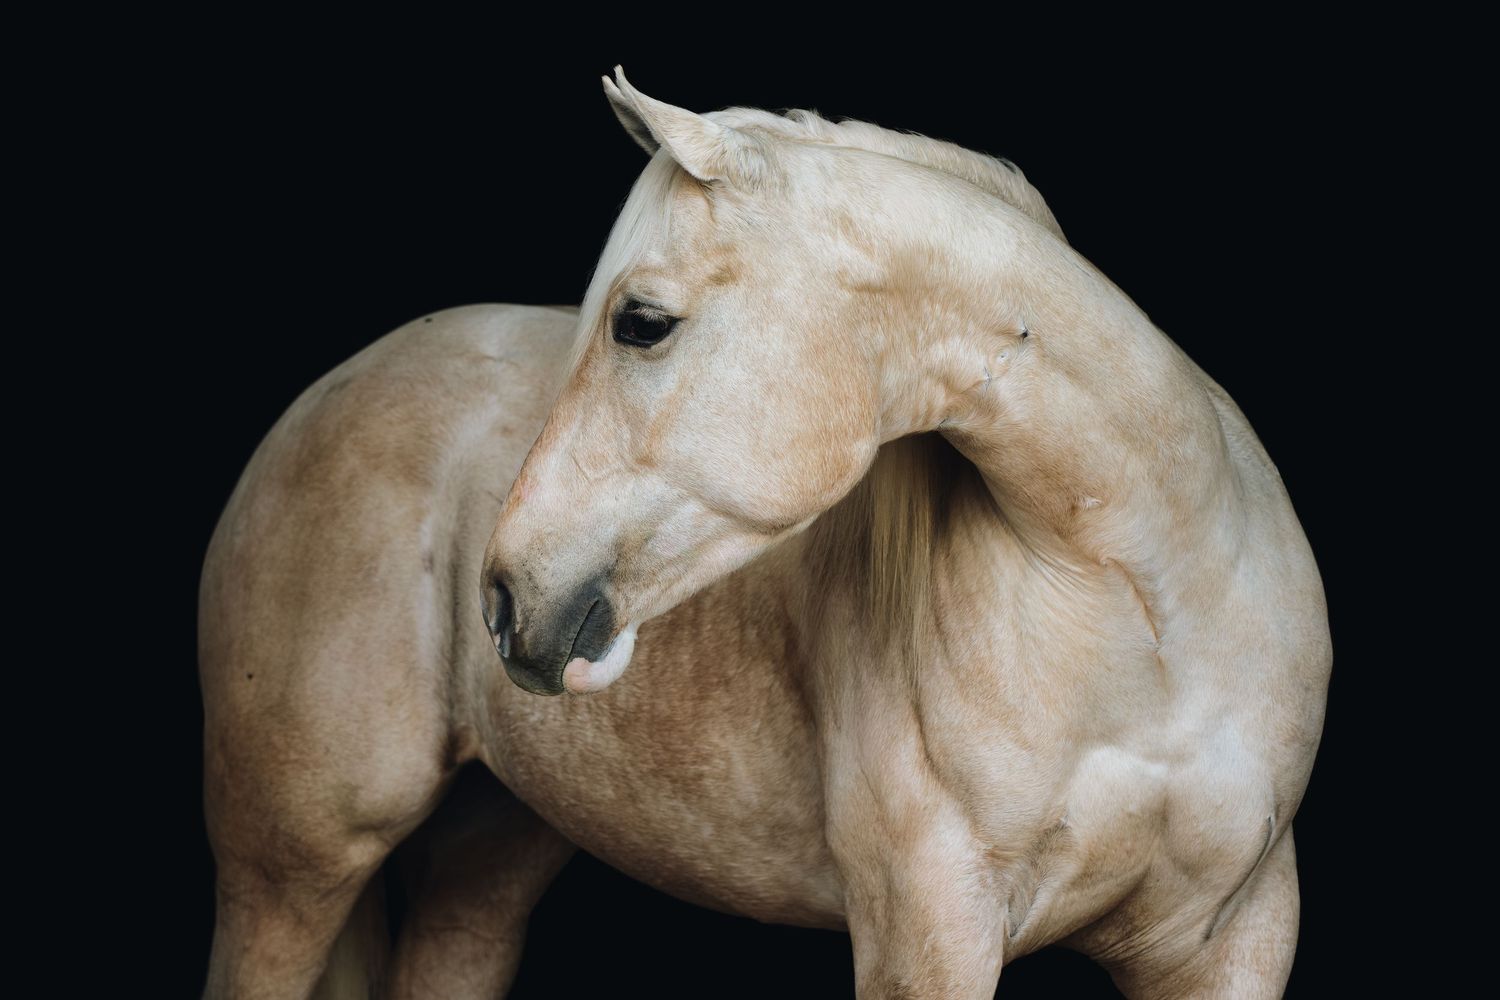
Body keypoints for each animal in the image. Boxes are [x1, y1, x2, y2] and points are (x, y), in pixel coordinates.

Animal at [199, 67, 1332, 998]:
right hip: (290, 869)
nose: (508, 598)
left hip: (488, 854)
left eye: (641, 323)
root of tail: (321, 399)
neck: (1148, 611)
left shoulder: (1238, 936)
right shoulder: (931, 936)